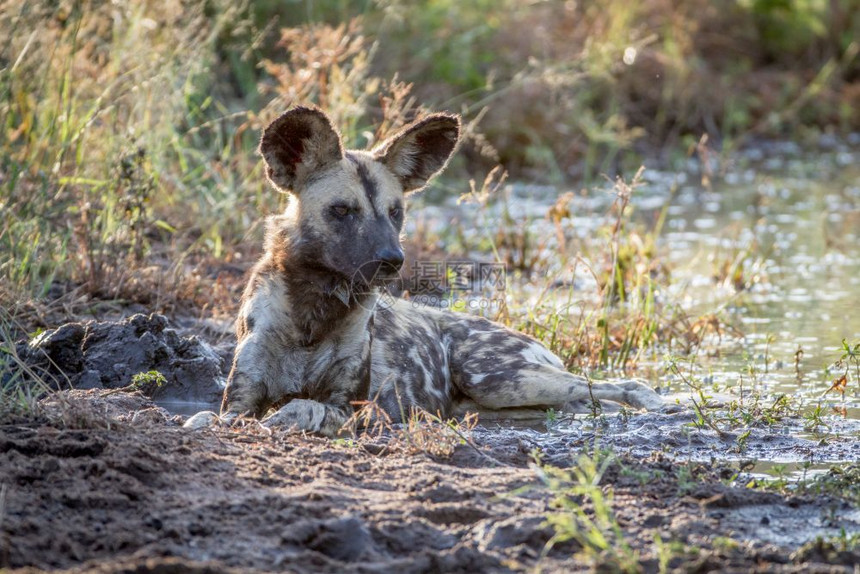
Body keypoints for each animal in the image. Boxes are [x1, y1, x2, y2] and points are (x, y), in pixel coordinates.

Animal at [186, 107, 664, 436]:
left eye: (395, 212)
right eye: (341, 211)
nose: (392, 259)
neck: (312, 312)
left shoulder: (352, 408)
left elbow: (305, 407)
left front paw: (286, 416)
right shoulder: (239, 399)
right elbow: (208, 417)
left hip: (504, 378)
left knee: (617, 384)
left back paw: (656, 402)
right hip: (495, 399)